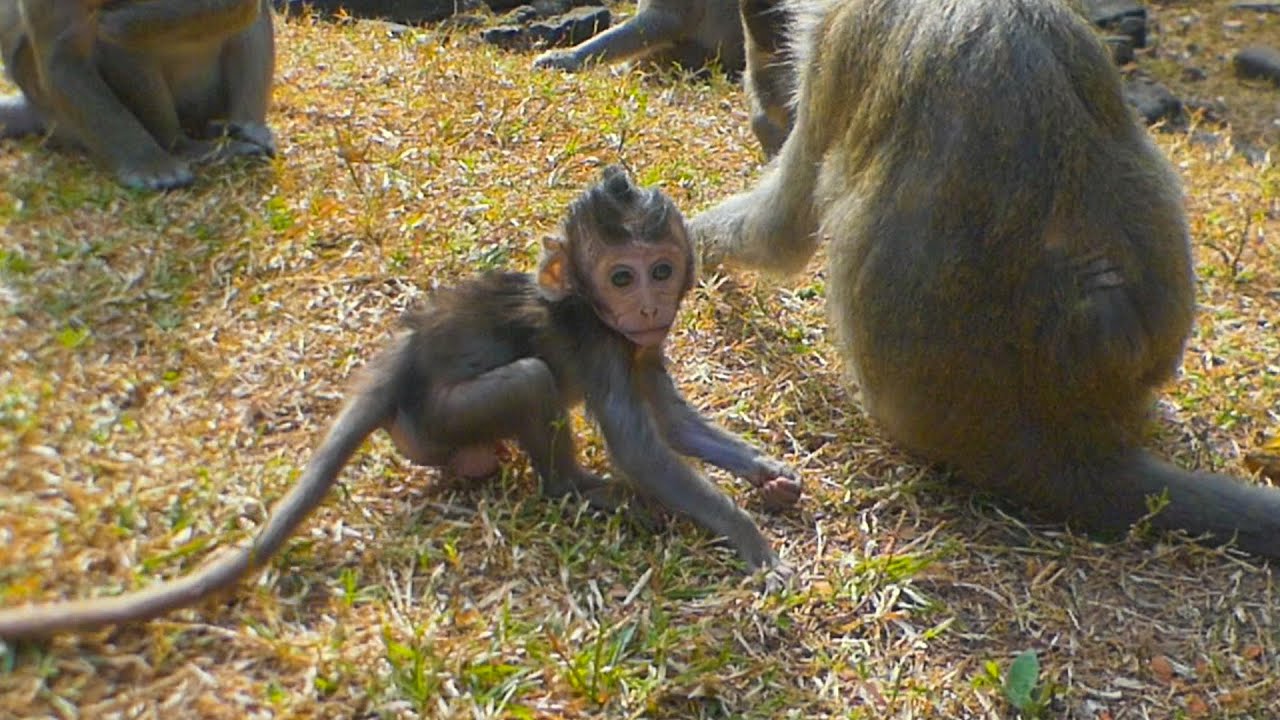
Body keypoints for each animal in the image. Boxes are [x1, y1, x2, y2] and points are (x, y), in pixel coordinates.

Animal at [0, 0, 276, 191]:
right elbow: (64, 57)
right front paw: (149, 164)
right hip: (64, 119)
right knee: (112, 45)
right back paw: (182, 148)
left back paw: (246, 128)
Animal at [0, 166, 802, 641]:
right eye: (622, 276)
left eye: (661, 270)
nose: (649, 304)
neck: (597, 313)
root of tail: (402, 360)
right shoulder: (602, 343)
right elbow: (639, 447)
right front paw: (755, 547)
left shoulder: (637, 347)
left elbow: (669, 421)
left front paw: (769, 478)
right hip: (438, 421)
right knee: (530, 379)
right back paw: (575, 487)